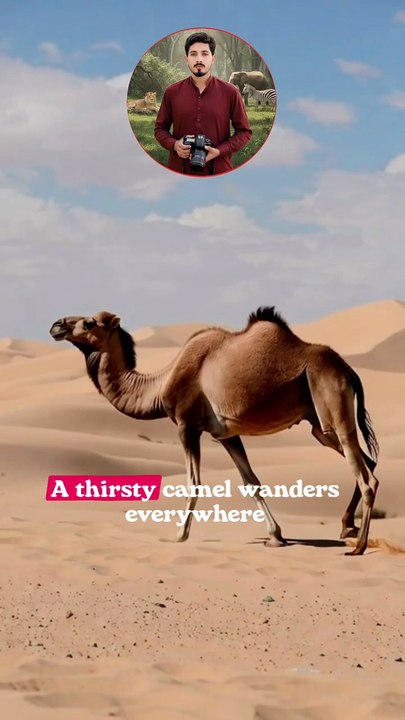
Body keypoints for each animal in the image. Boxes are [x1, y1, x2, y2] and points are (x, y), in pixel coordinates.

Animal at [49, 306, 380, 556]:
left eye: (89, 322)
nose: (56, 325)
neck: (160, 384)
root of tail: (348, 370)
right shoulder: (226, 434)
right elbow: (251, 482)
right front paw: (275, 536)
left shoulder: (187, 425)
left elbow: (193, 482)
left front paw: (179, 535)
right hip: (319, 426)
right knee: (368, 462)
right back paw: (346, 526)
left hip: (330, 407)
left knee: (367, 478)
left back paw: (359, 546)